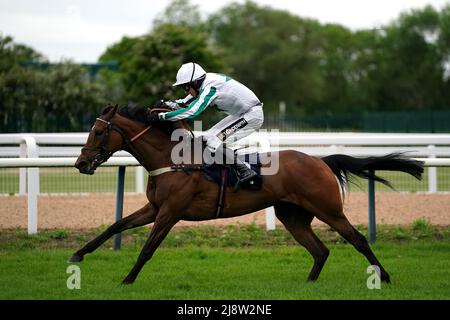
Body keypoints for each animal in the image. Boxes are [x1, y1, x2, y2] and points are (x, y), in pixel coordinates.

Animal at [71, 104, 426, 284]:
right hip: (293, 216)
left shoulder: (170, 212)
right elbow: (116, 225)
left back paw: (385, 276)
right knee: (320, 250)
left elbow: (147, 249)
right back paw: (308, 284)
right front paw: (78, 254)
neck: (173, 160)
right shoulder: (154, 207)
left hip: (329, 209)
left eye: (99, 131)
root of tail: (320, 160)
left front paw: (127, 279)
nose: (81, 164)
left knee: (358, 239)